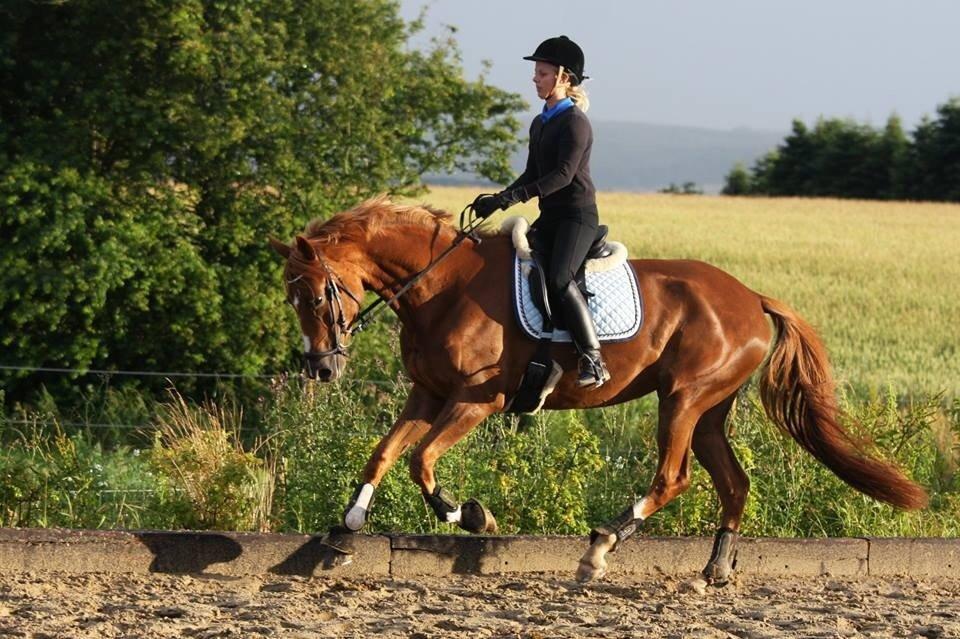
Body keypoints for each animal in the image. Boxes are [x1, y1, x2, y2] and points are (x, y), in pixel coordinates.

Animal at [266, 196, 928, 584]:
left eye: (317, 296)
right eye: (291, 299)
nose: (321, 370)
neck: (441, 286)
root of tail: (750, 296)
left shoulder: (478, 400)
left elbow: (422, 461)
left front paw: (470, 515)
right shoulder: (426, 394)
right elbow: (383, 454)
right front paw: (344, 530)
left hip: (683, 399)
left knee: (674, 477)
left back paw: (601, 547)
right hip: (710, 410)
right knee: (733, 483)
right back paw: (713, 570)